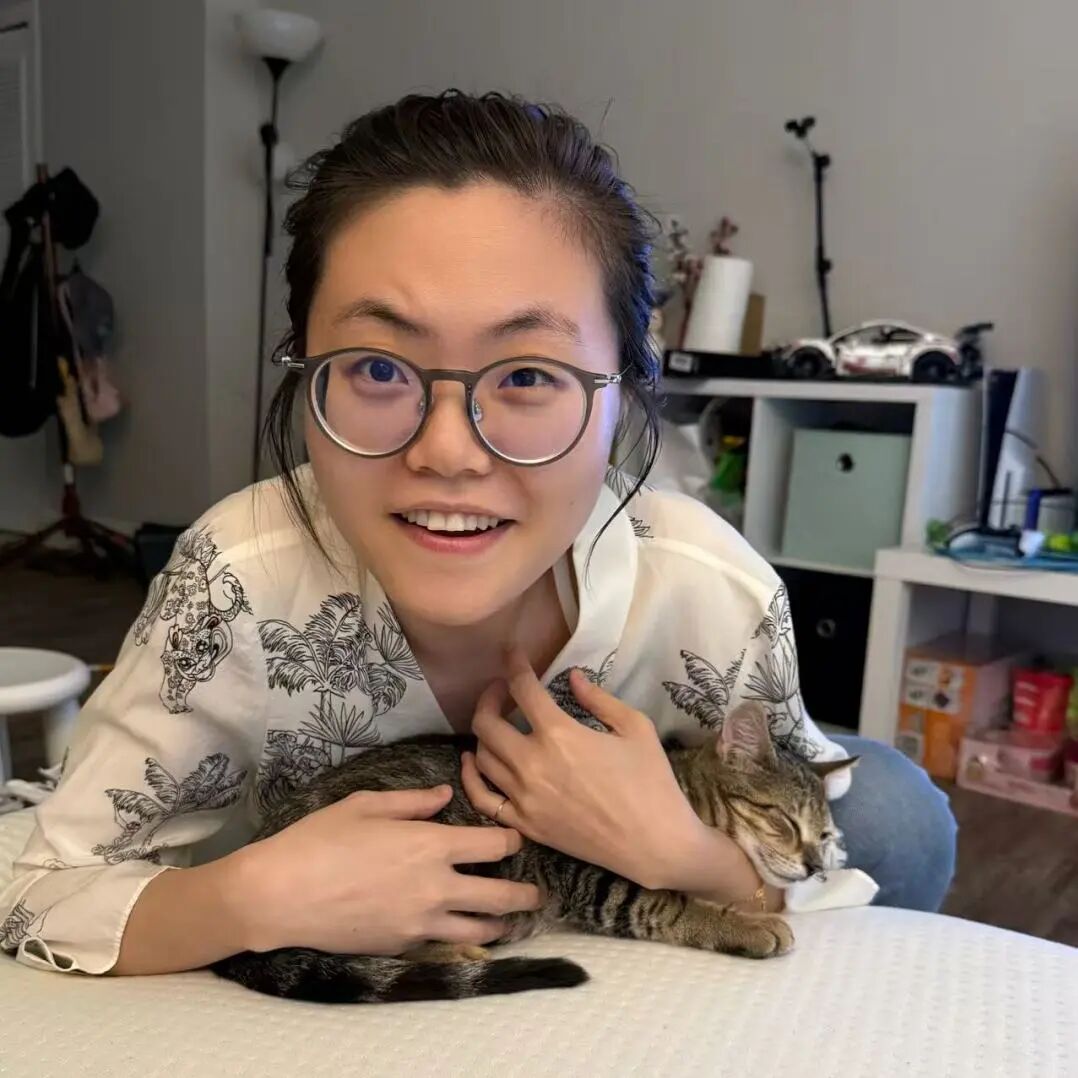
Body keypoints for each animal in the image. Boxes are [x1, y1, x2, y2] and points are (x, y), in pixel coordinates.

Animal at [212, 702, 856, 1003]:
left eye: (825, 837)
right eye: (783, 821)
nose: (813, 866)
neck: (682, 797)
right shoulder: (600, 881)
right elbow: (670, 905)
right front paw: (749, 926)